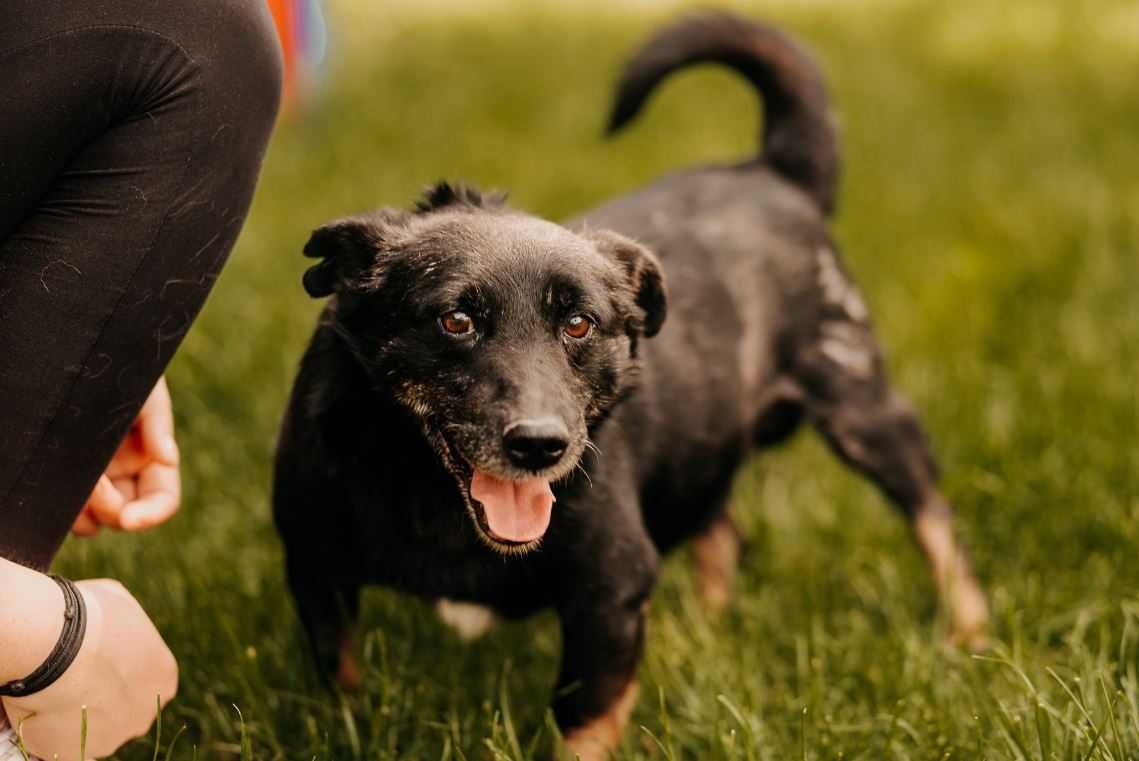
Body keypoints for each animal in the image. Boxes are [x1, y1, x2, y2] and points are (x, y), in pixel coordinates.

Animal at [273, 13, 988, 761]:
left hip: (865, 408)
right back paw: (703, 630)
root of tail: (770, 172)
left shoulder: (609, 590)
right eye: (455, 319)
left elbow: (583, 718)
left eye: (579, 322)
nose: (540, 446)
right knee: (723, 528)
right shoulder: (314, 564)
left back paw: (969, 636)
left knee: (935, 522)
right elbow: (341, 680)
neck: (429, 495)